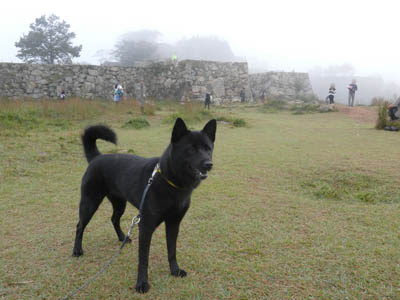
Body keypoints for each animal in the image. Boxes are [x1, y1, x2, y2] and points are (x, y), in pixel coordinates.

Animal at [72, 118, 216, 292]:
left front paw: (175, 271)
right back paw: (77, 250)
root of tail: (96, 158)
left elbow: (172, 251)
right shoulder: (146, 227)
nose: (209, 164)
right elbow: (143, 259)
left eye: (208, 148)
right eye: (190, 149)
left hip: (120, 203)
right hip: (90, 203)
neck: (170, 181)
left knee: (114, 219)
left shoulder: (174, 223)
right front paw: (141, 283)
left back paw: (123, 238)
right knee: (80, 225)